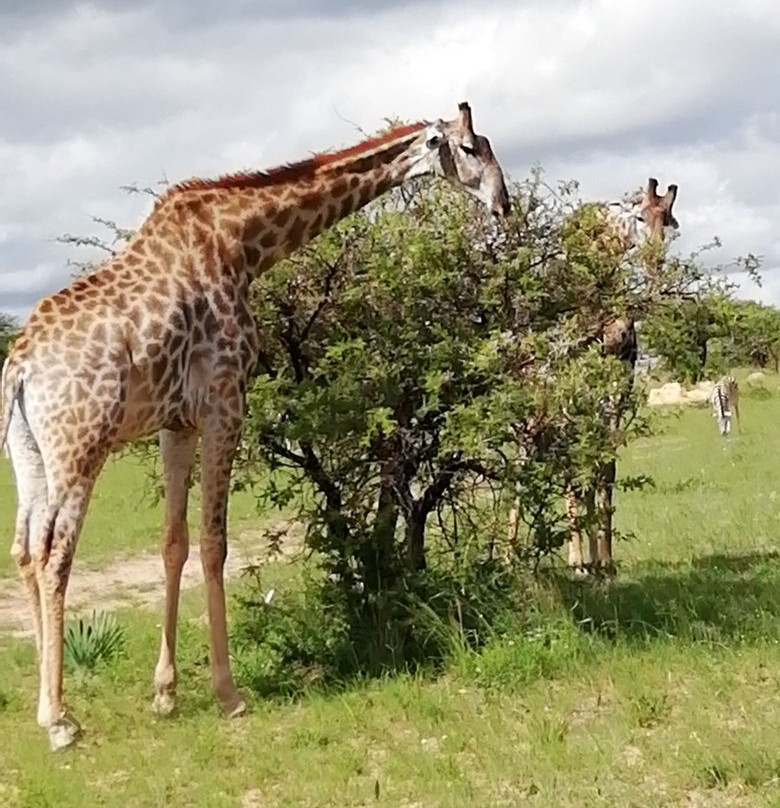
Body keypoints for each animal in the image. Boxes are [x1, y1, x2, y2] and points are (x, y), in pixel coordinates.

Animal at [0, 102, 512, 752]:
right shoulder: (226, 402)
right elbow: (215, 543)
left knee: (22, 548)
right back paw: (59, 719)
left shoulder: (177, 422)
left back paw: (47, 702)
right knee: (53, 554)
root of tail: (18, 369)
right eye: (470, 148)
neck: (244, 248)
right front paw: (228, 693)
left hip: (29, 453)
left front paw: (166, 693)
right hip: (80, 446)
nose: (503, 203)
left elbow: (174, 542)